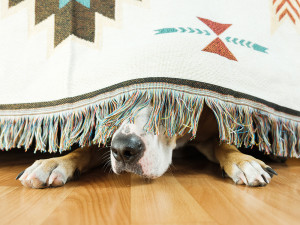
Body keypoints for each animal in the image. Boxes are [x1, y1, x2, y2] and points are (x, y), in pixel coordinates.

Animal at [16, 103, 278, 188]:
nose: (123, 150)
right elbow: (84, 150)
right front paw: (53, 164)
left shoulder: (208, 134)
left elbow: (226, 145)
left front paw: (245, 162)